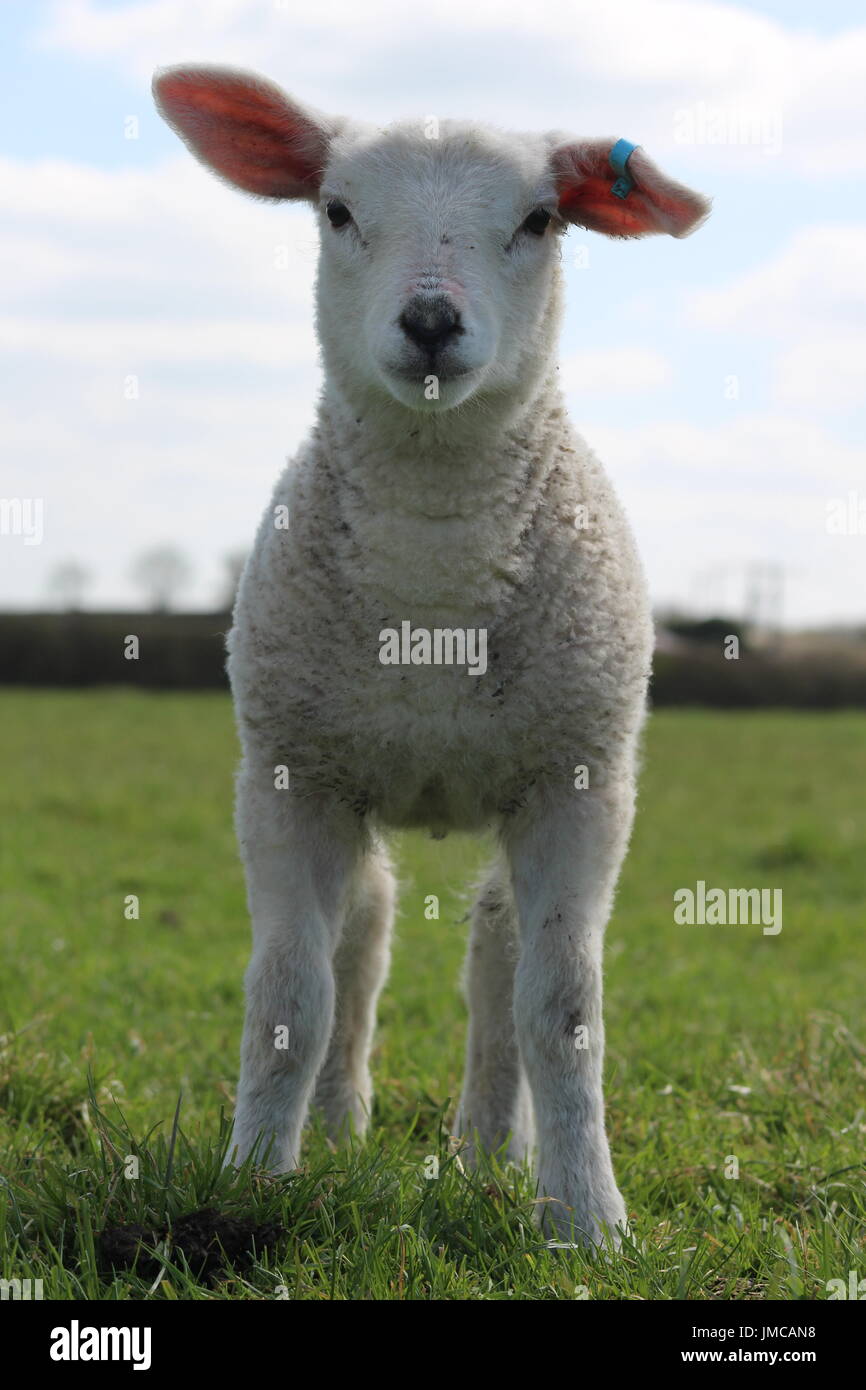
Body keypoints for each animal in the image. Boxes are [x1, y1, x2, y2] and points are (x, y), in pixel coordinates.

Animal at [153, 64, 710, 1247]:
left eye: (541, 219)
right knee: (362, 937)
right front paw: (250, 1184)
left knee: (498, 953)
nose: (429, 321)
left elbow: (562, 1008)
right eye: (336, 211)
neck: (433, 597)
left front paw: (590, 1221)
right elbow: (290, 996)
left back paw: (492, 1152)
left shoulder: (581, 785)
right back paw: (336, 1131)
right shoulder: (287, 778)